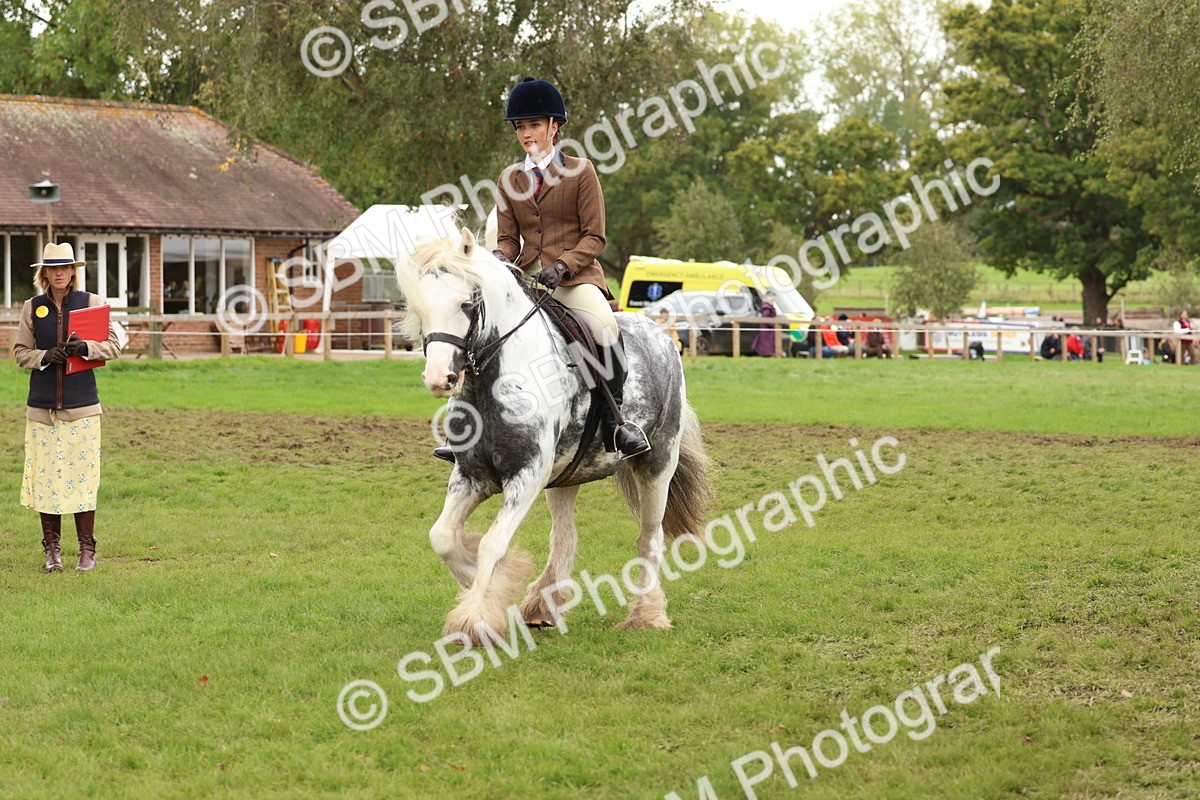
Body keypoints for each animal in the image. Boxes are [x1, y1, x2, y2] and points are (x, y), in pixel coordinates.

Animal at [395, 226, 713, 643]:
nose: (438, 379)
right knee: (564, 537)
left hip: (657, 462)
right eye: (420, 307)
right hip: (566, 476)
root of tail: (660, 335)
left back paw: (646, 614)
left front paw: (475, 618)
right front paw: (488, 584)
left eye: (466, 304)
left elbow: (493, 545)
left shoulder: (526, 475)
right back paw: (541, 607)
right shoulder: (470, 477)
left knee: (649, 536)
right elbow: (445, 538)